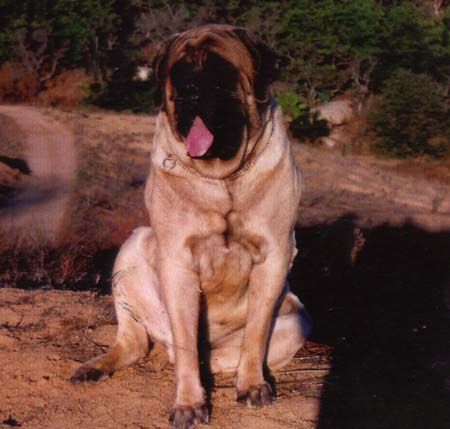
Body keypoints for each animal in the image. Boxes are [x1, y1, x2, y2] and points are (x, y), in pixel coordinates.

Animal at [71, 24, 312, 429]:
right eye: (179, 70)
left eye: (220, 69)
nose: (190, 91)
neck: (223, 178)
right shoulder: (177, 262)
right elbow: (184, 342)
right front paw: (188, 404)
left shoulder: (275, 254)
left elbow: (256, 333)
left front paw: (252, 385)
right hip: (132, 248)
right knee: (141, 343)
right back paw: (94, 367)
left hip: (296, 321)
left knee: (219, 354)